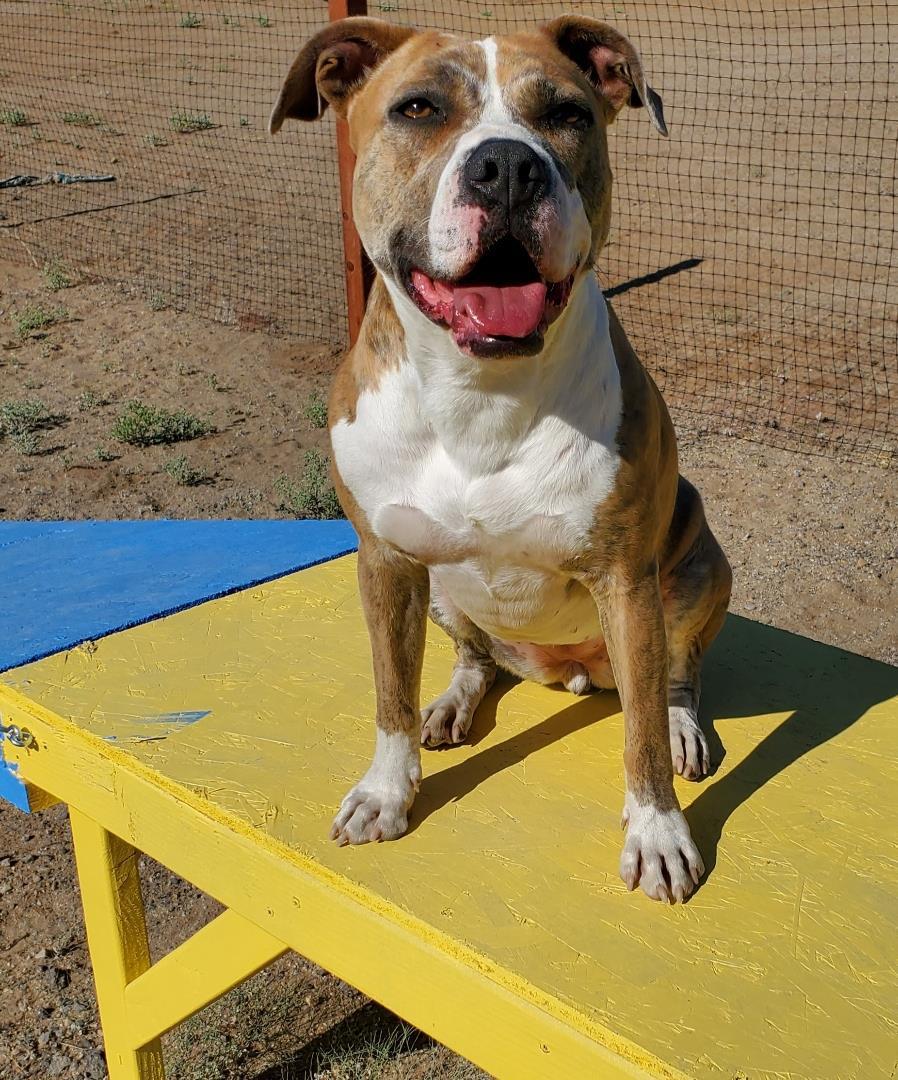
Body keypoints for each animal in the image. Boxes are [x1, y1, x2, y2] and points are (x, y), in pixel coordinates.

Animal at [270, 14, 734, 902]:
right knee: (476, 657)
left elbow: (640, 737)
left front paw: (659, 833)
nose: (509, 167)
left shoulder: (626, 579)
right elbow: (388, 691)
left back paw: (683, 724)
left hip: (697, 567)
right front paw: (387, 792)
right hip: (444, 590)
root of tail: (565, 671)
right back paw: (452, 702)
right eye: (418, 108)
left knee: (672, 677)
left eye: (566, 114)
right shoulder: (384, 560)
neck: (477, 390)